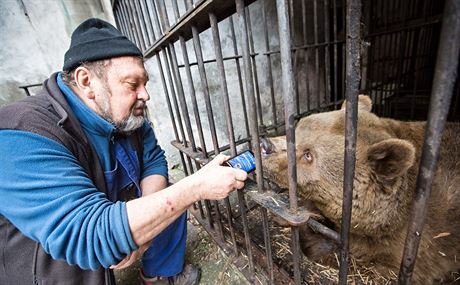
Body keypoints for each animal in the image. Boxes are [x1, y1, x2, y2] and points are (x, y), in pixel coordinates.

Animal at [260, 95, 460, 282]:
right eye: (298, 127)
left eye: (308, 155)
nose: (265, 145)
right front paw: (285, 213)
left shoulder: (413, 246)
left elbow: (357, 263)